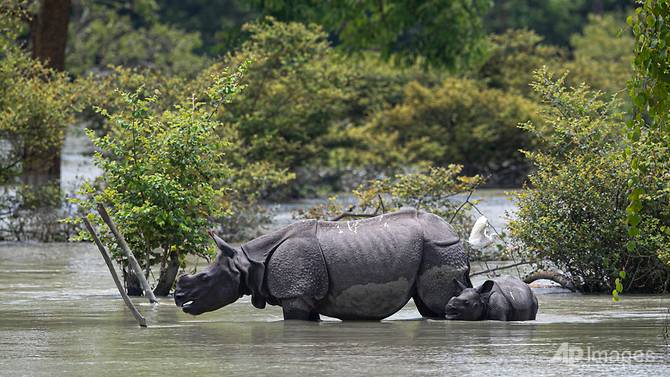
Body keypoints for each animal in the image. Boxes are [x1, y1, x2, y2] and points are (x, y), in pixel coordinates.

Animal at [176, 207, 476, 318]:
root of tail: (453, 232)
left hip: (439, 248)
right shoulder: (303, 293)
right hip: (437, 248)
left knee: (438, 301)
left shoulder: (296, 292)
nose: (178, 297)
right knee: (429, 306)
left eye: (204, 278)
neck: (248, 263)